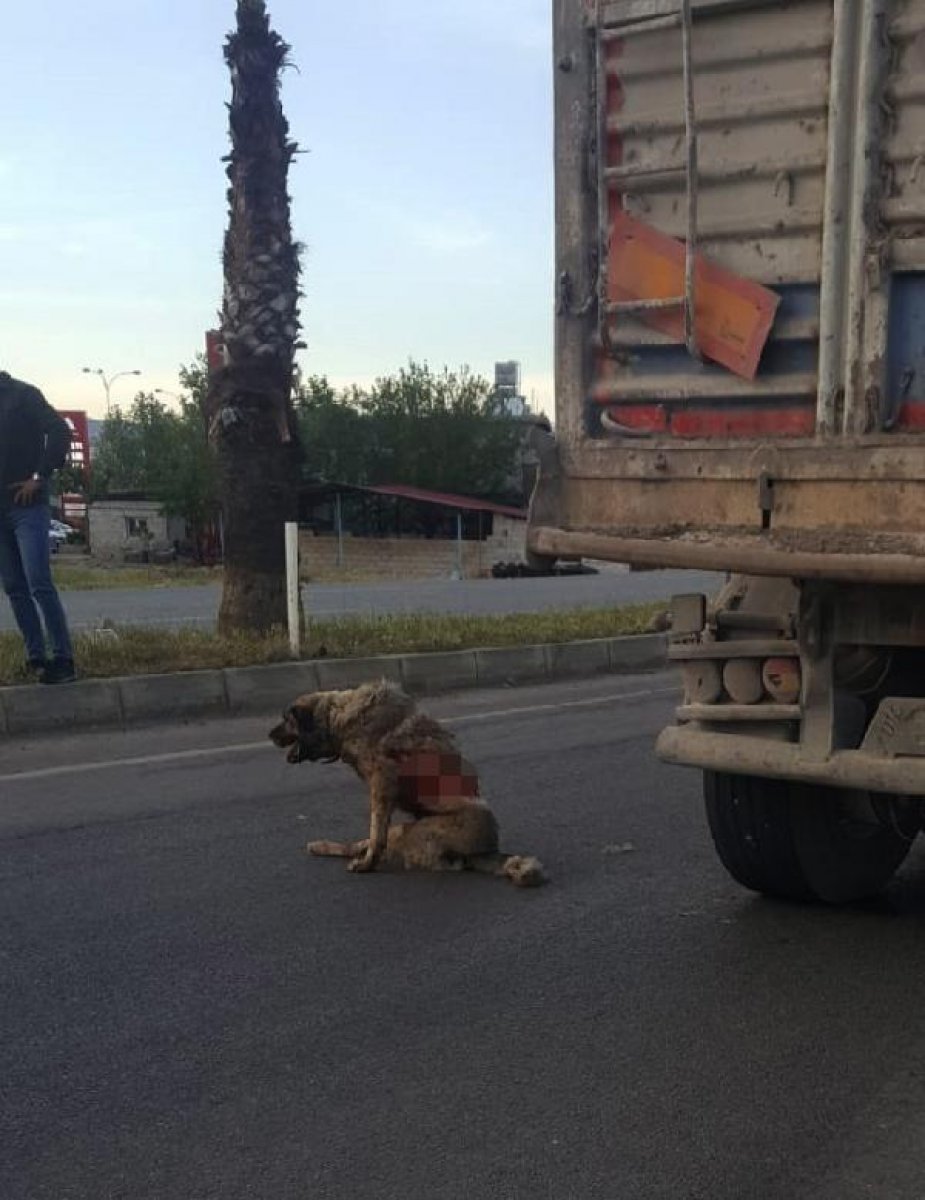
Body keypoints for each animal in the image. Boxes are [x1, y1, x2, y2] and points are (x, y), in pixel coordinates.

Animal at [267, 681, 547, 888]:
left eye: (286, 719)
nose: (269, 735)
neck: (339, 716)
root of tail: (485, 852)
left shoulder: (382, 784)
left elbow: (375, 835)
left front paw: (367, 865)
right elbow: (373, 837)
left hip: (405, 831)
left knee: (364, 843)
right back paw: (321, 846)